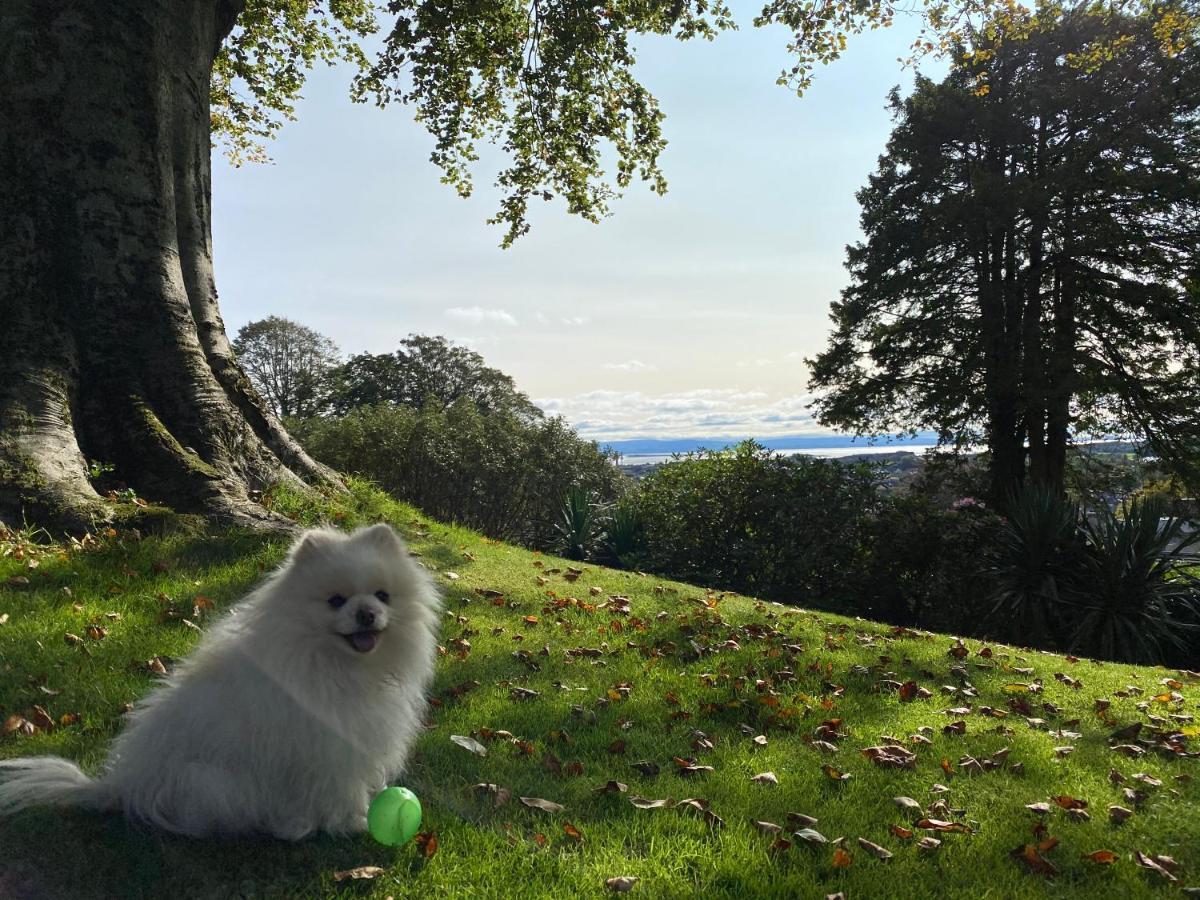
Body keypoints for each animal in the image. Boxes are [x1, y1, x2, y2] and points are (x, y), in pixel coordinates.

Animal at [0, 525, 444, 844]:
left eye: (383, 596)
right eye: (336, 601)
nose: (367, 613)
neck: (338, 665)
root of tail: (120, 786)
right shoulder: (328, 749)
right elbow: (338, 791)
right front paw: (351, 822)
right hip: (213, 782)